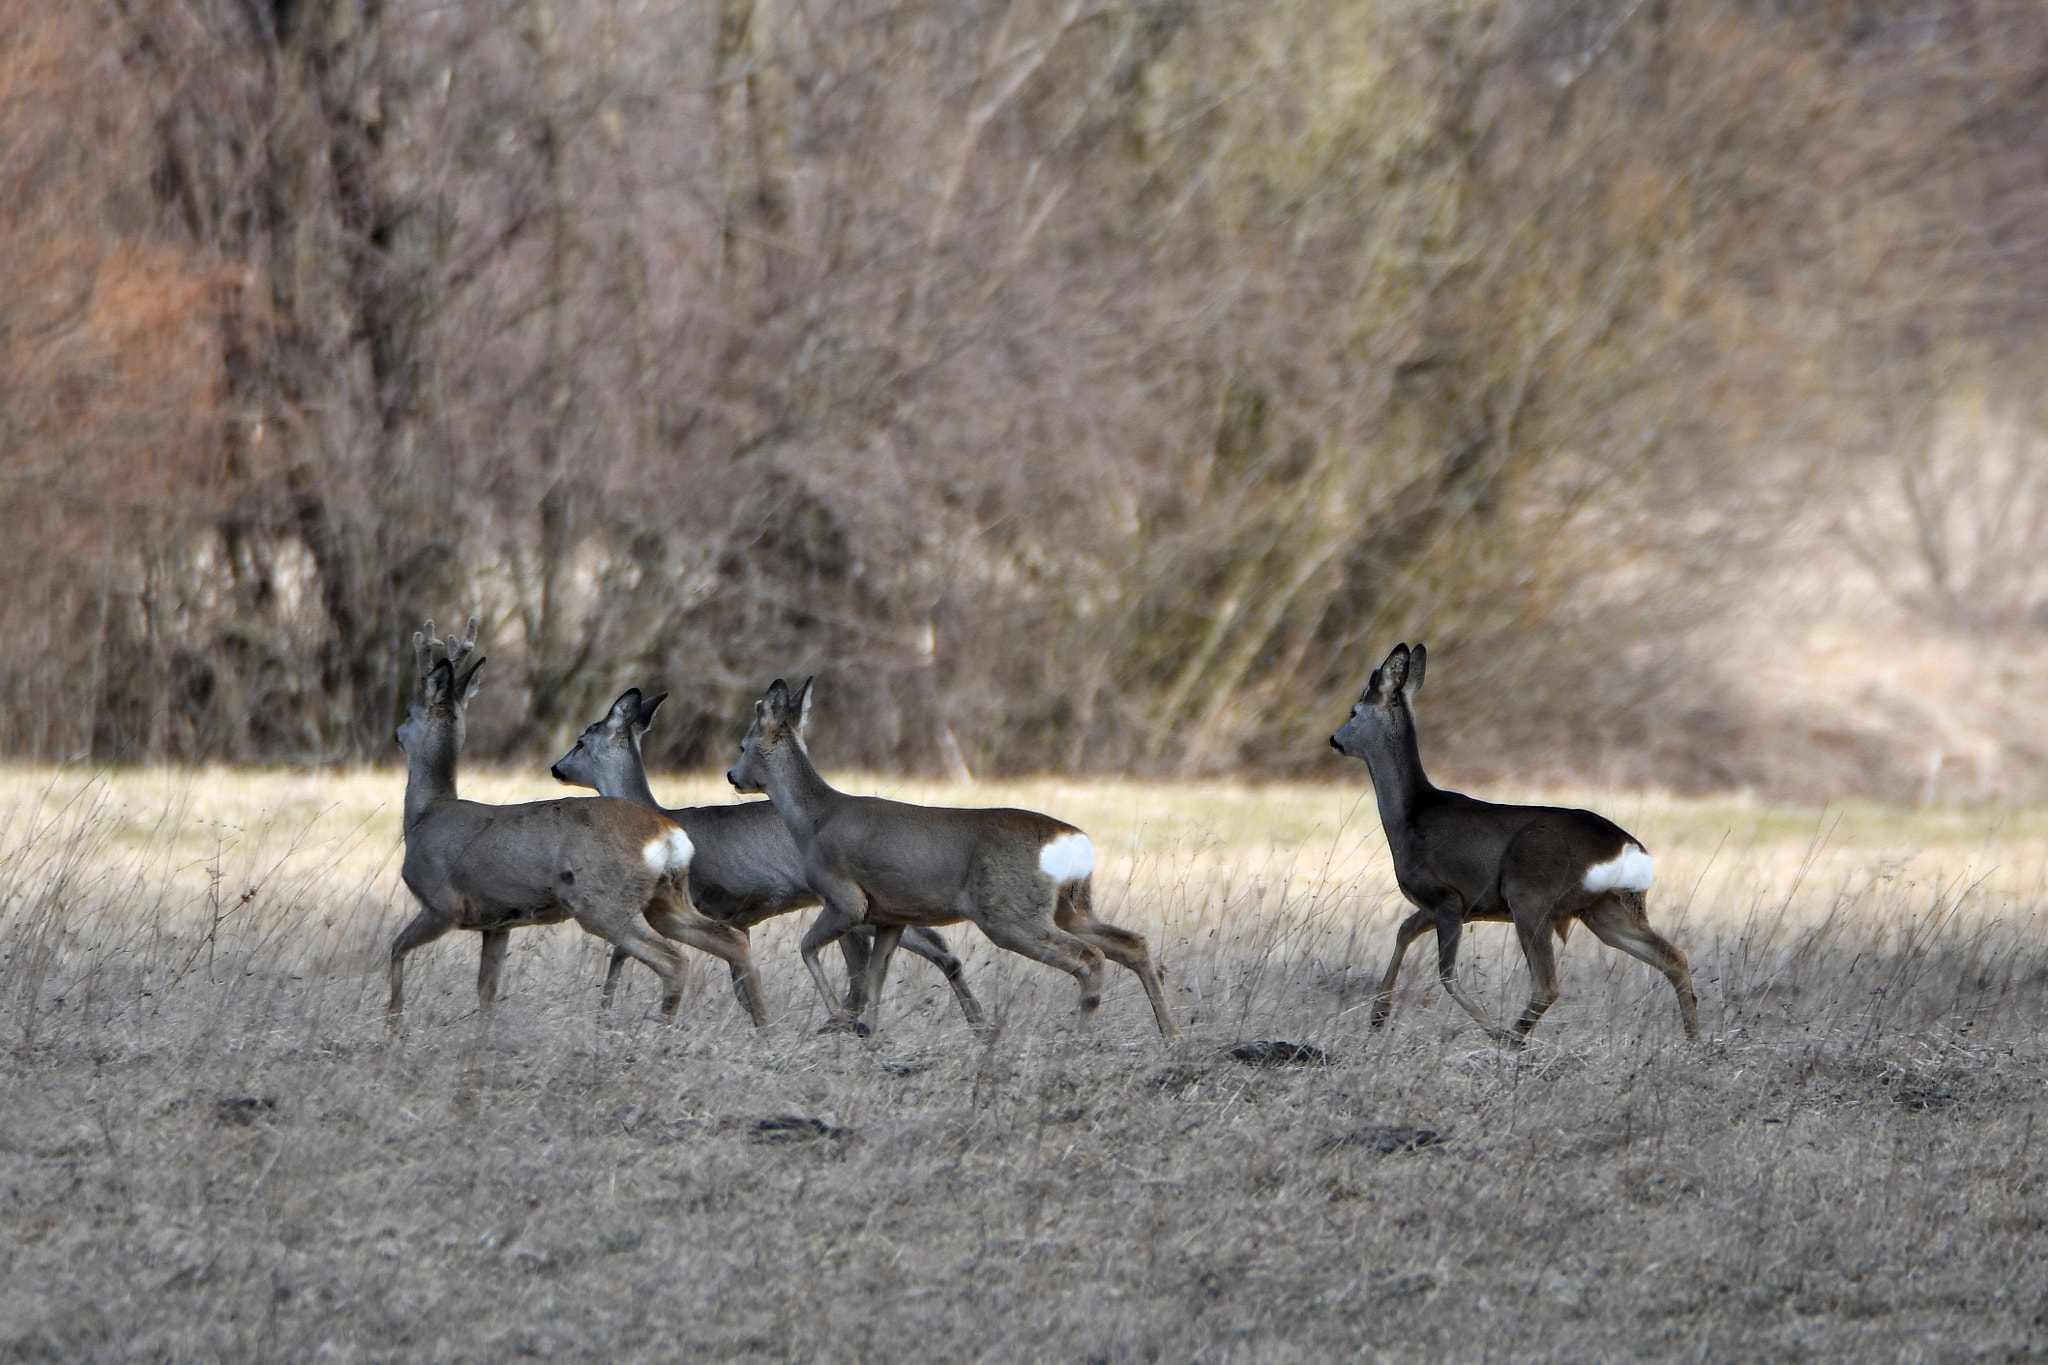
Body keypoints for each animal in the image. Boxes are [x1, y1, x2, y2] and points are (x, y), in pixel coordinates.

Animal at [387, 618, 768, 1027]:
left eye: (408, 712)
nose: (396, 733)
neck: (425, 815)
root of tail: (668, 836)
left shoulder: (443, 903)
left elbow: (395, 950)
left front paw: (394, 1025)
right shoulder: (499, 922)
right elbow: (486, 992)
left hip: (604, 902)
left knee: (674, 960)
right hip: (667, 900)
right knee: (731, 940)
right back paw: (762, 1026)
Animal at [550, 688, 986, 1029]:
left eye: (581, 740)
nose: (556, 768)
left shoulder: (704, 902)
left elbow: (622, 952)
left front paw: (604, 1015)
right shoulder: (737, 916)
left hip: (855, 905)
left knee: (902, 957)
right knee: (930, 948)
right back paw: (972, 1021)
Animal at [726, 677, 1180, 1040]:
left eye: (743, 745)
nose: (732, 776)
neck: (815, 820)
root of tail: (1073, 839)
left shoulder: (846, 900)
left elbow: (808, 950)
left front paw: (838, 1019)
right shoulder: (891, 915)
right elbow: (875, 978)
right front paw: (869, 1035)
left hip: (1009, 913)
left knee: (1090, 958)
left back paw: (1080, 1040)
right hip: (1071, 906)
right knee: (1133, 943)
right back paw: (1170, 1034)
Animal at [1329, 643, 1699, 1046]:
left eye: (1353, 711)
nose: (1333, 740)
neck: (1410, 815)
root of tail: (1631, 852)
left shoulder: (1448, 896)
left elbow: (1447, 974)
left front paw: (1488, 1029)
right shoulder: (1440, 906)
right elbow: (1403, 934)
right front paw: (1377, 1017)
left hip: (1530, 897)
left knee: (1547, 985)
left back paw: (1511, 1039)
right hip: (1606, 911)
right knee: (1675, 958)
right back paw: (1695, 1040)